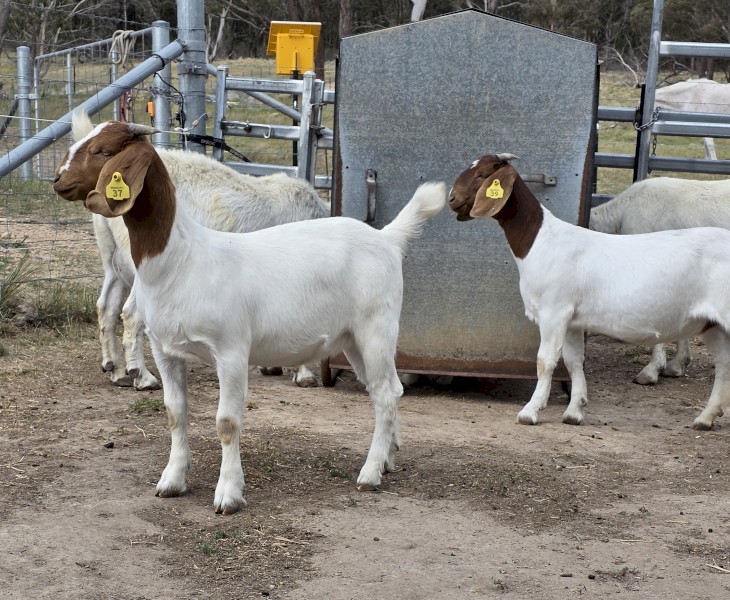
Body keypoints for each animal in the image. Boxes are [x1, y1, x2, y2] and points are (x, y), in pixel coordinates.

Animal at [69, 112, 329, 391]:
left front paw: (271, 365)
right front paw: (304, 374)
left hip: (113, 259)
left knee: (106, 306)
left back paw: (116, 370)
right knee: (131, 313)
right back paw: (143, 376)